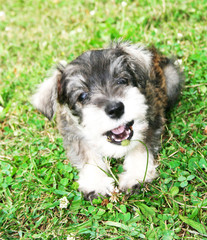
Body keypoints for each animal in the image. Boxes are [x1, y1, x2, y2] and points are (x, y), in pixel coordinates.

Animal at [31, 41, 182, 201]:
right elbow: (87, 155)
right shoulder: (74, 133)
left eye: (122, 80)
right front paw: (96, 182)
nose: (115, 109)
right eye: (82, 96)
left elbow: (139, 146)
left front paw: (135, 175)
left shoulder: (152, 118)